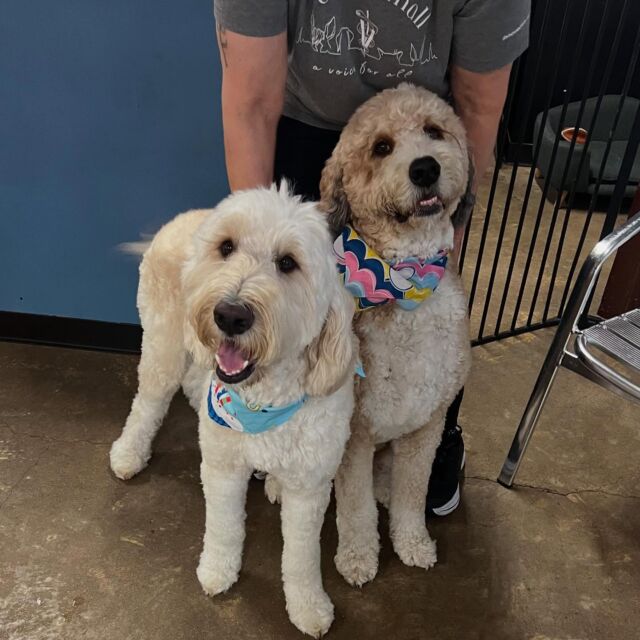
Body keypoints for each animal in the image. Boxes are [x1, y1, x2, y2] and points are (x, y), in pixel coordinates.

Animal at [112, 182, 358, 636]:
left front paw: (308, 606)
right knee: (149, 401)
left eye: (288, 263)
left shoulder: (311, 486)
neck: (263, 401)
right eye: (226, 247)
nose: (230, 314)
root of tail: (179, 219)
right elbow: (224, 525)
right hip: (164, 347)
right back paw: (128, 454)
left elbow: (302, 556)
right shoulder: (223, 465)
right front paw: (217, 571)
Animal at [320, 84, 476, 584]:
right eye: (382, 147)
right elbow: (355, 508)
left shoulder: (426, 427)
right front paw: (357, 557)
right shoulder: (355, 435)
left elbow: (411, 493)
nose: (425, 167)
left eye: (434, 130)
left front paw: (412, 543)